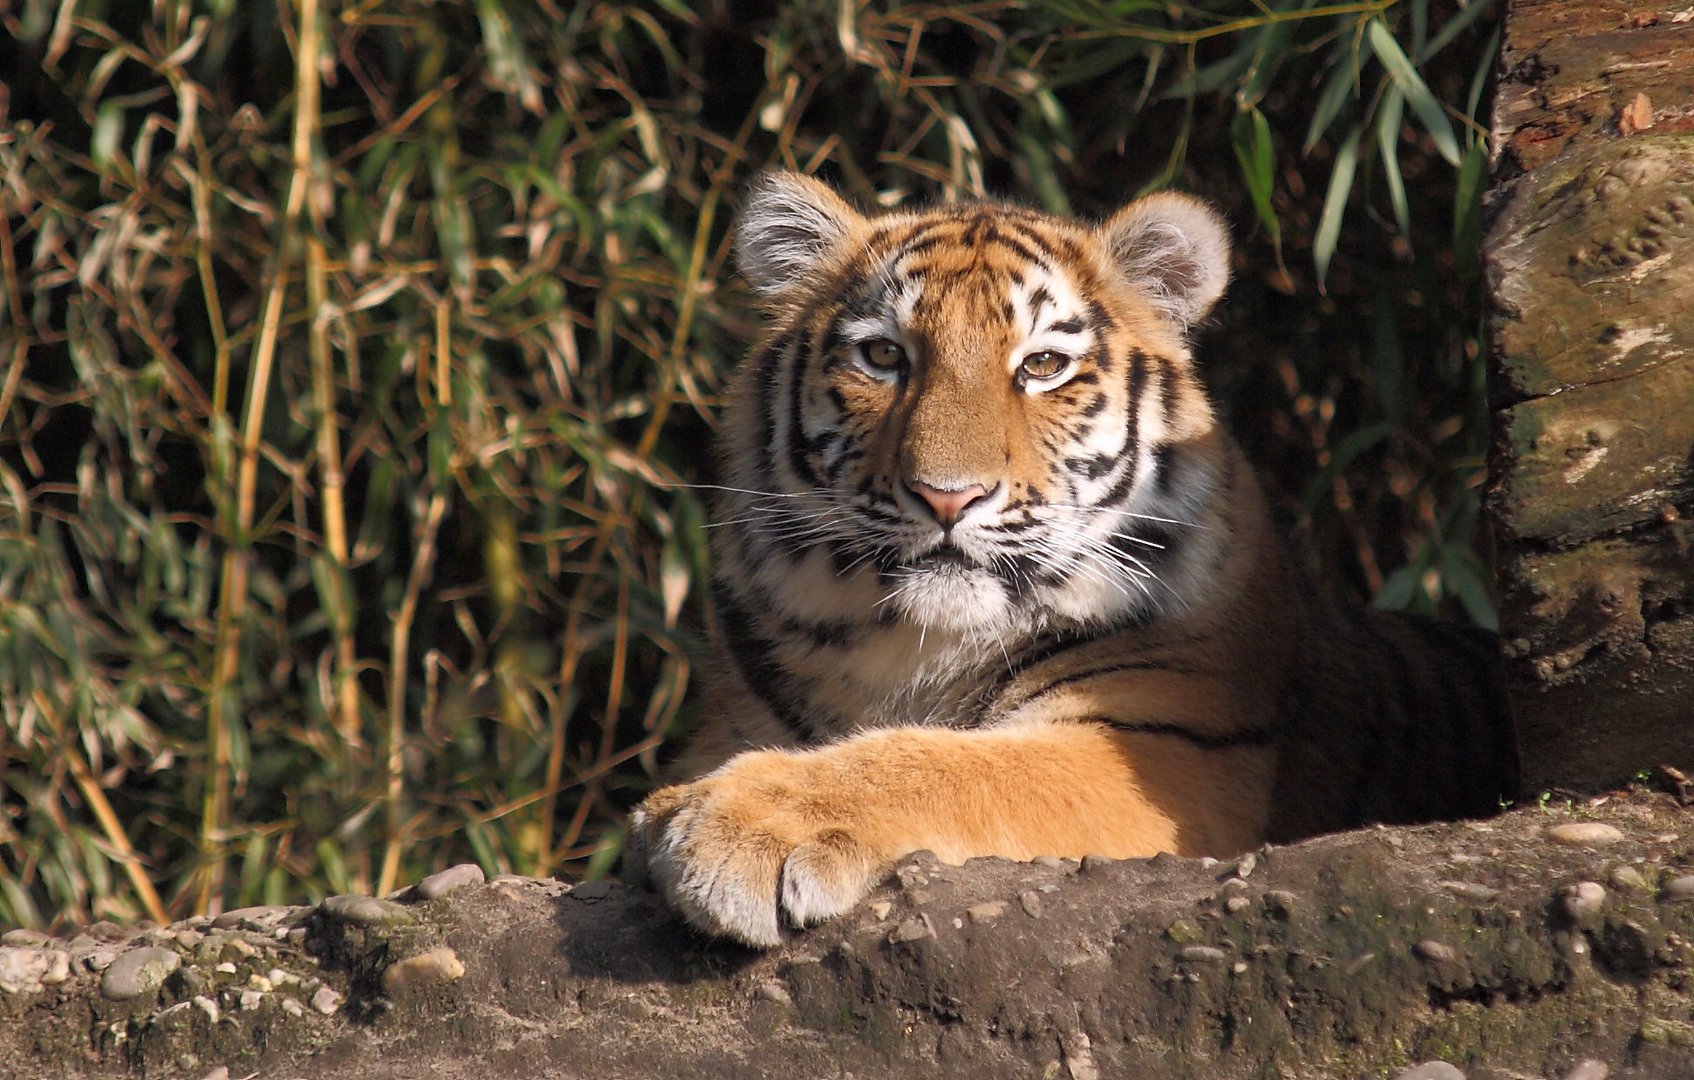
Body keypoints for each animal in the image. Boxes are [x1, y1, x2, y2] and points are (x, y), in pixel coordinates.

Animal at [620, 169, 1511, 947]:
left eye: (1043, 365)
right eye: (883, 357)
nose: (947, 496)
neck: (913, 648)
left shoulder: (1158, 745)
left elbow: (951, 767)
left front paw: (733, 821)